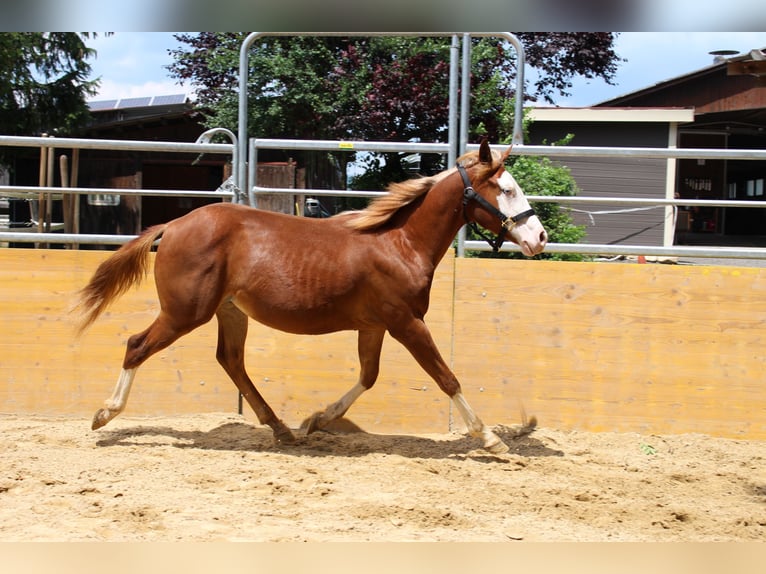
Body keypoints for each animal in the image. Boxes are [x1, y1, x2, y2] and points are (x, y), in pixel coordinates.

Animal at [75, 140, 548, 454]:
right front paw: (491, 439)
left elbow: (369, 376)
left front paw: (316, 420)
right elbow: (445, 377)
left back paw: (282, 429)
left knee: (231, 360)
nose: (539, 237)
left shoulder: (376, 326)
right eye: (506, 189)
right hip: (184, 313)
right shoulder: (406, 322)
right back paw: (103, 415)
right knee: (137, 346)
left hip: (230, 312)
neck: (400, 243)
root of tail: (173, 225)